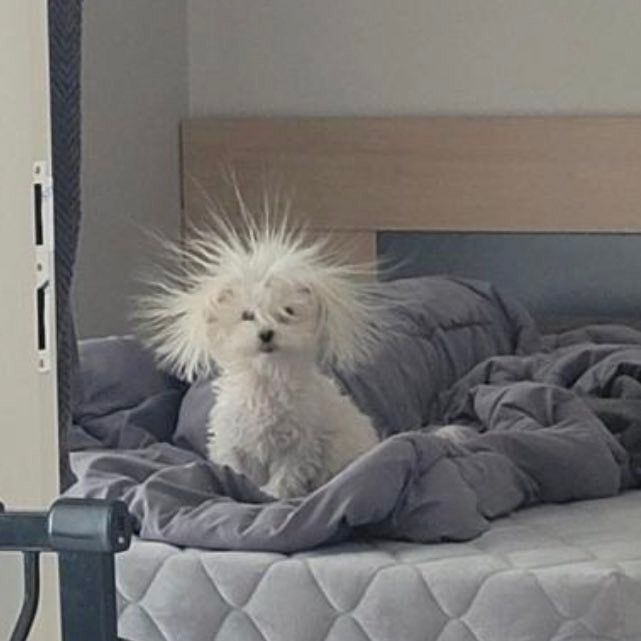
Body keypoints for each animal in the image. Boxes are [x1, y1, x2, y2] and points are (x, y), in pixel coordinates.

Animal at [137, 218, 382, 498]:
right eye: (247, 315)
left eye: (288, 312)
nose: (266, 333)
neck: (266, 377)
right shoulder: (234, 441)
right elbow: (237, 470)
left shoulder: (298, 446)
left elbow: (284, 477)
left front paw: (272, 495)